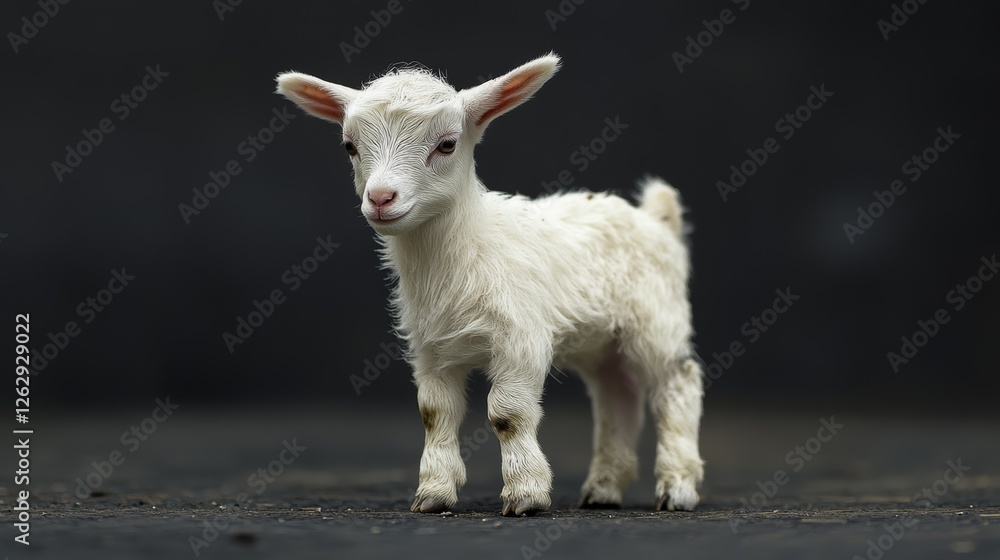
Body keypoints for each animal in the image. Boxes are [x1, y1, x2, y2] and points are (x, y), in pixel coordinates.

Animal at [276, 53, 704, 516]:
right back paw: (603, 489)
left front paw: (526, 494)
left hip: (656, 320)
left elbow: (507, 415)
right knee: (617, 397)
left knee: (676, 385)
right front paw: (433, 493)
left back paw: (677, 487)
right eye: (349, 146)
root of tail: (655, 219)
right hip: (604, 343)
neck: (468, 249)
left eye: (447, 144)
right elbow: (434, 413)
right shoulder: (430, 347)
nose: (380, 198)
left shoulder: (521, 339)